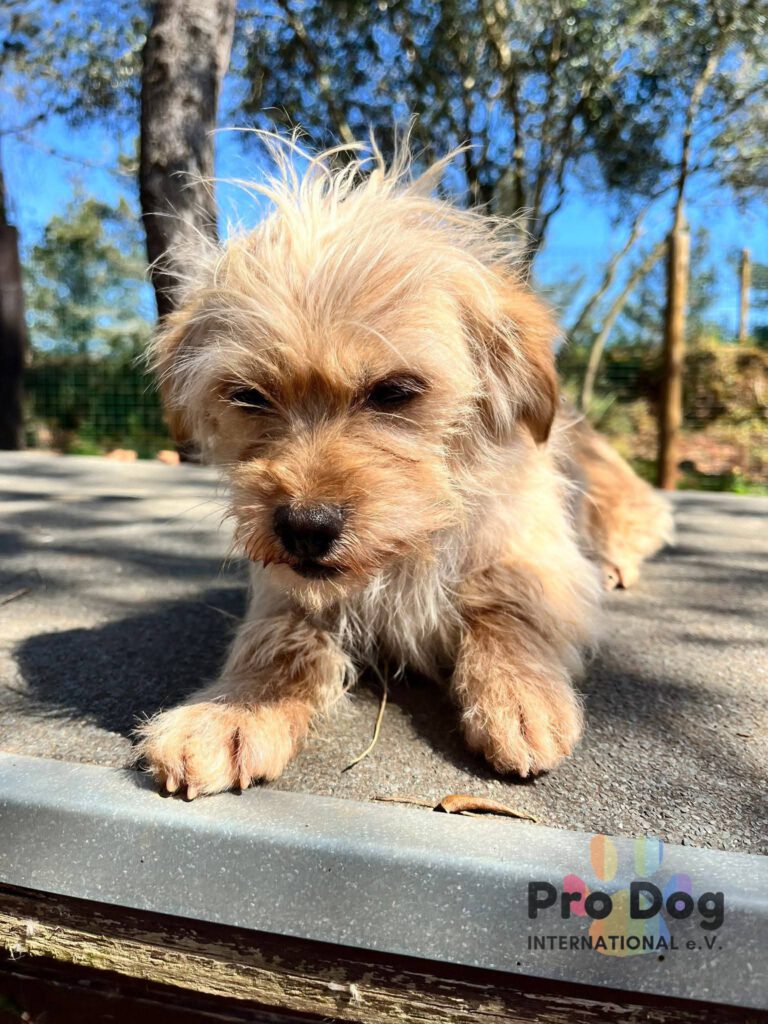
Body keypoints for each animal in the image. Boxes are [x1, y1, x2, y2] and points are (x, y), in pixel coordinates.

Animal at [136, 138, 673, 798]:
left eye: (394, 391)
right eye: (249, 396)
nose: (305, 527)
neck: (409, 550)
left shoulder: (537, 556)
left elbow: (509, 607)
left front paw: (518, 695)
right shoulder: (287, 590)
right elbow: (277, 641)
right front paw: (233, 711)